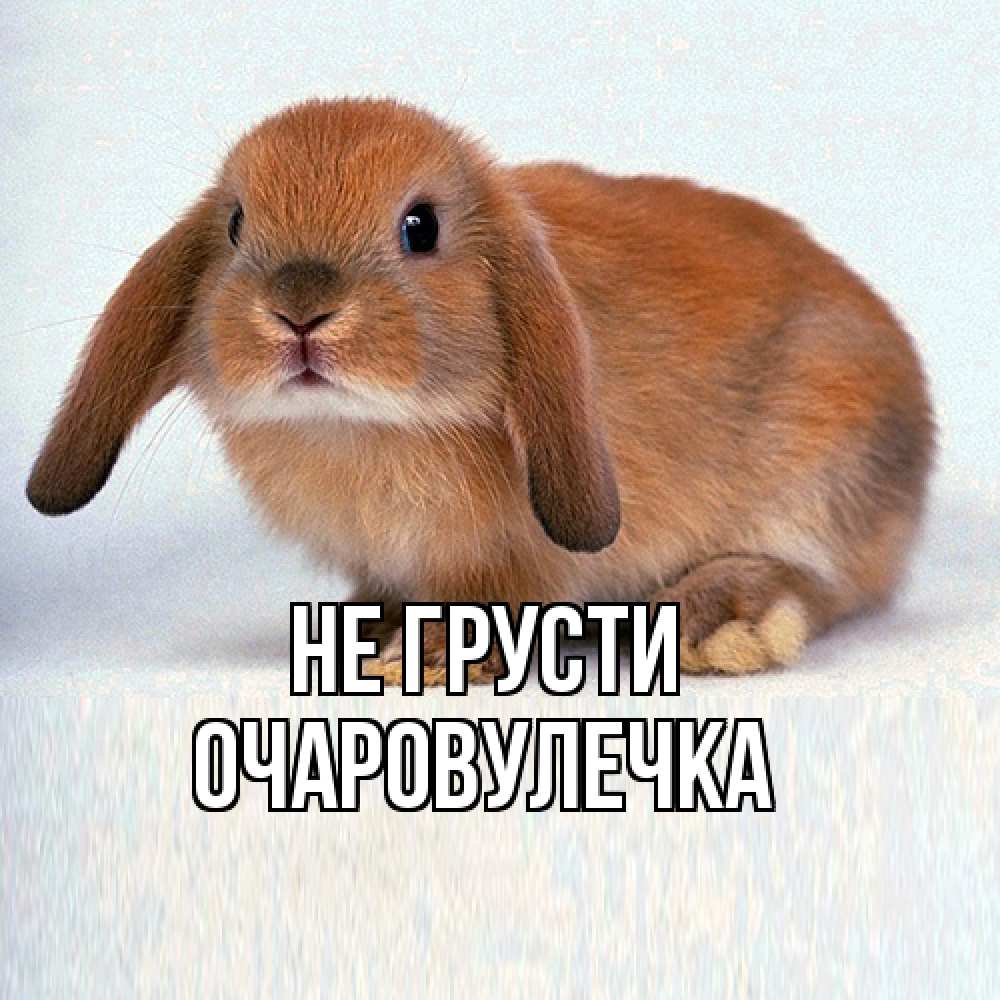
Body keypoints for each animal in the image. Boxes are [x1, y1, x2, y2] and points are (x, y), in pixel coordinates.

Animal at [26, 97, 934, 682]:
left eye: (420, 227)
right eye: (237, 224)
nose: (299, 311)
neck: (360, 428)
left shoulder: (516, 558)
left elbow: (499, 597)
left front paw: (425, 659)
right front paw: (374, 635)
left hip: (822, 468)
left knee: (825, 582)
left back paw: (723, 622)